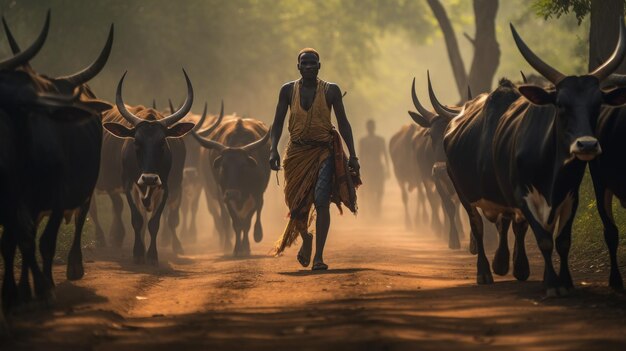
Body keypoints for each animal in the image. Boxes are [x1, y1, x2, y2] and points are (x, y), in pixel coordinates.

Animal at [190, 117, 268, 258]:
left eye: (243, 166)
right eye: (223, 166)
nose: (232, 194)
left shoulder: (255, 195)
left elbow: (247, 223)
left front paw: (246, 247)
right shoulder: (224, 197)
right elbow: (236, 223)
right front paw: (236, 249)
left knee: (259, 209)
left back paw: (257, 234)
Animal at [442, 20, 624, 296]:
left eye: (597, 105)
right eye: (560, 104)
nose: (587, 144)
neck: (552, 173)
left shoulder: (571, 195)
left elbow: (562, 240)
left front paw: (565, 281)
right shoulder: (523, 195)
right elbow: (544, 240)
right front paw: (551, 284)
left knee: (510, 224)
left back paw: (514, 266)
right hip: (464, 192)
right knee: (478, 226)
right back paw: (484, 271)